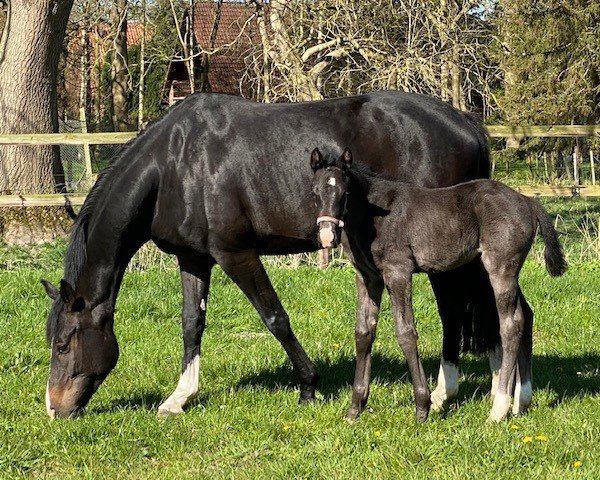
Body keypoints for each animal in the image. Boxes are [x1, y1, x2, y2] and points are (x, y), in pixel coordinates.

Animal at [41, 92, 496, 418]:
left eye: (63, 345)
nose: (54, 409)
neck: (176, 164)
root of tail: (464, 124)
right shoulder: (193, 259)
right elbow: (191, 324)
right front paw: (179, 398)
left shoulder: (235, 254)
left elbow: (275, 317)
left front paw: (309, 386)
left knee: (453, 309)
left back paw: (444, 392)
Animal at [310, 146, 568, 420]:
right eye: (314, 192)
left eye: (345, 192)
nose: (326, 235)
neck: (373, 215)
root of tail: (529, 202)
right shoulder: (368, 278)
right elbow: (363, 333)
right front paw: (355, 408)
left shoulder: (397, 271)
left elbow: (406, 332)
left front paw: (422, 407)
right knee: (527, 315)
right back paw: (522, 402)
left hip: (500, 269)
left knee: (511, 324)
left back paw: (498, 410)